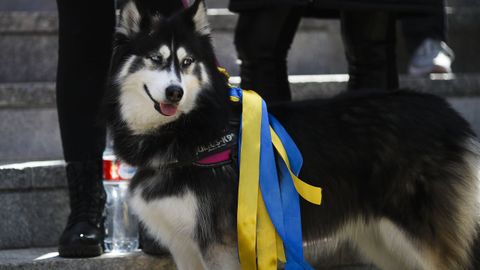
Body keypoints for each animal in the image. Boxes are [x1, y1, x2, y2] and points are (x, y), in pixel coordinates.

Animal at [107, 1, 480, 268]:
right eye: (155, 59)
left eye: (187, 62)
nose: (175, 93)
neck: (191, 133)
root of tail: (451, 114)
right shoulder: (185, 248)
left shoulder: (222, 246)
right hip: (384, 241)